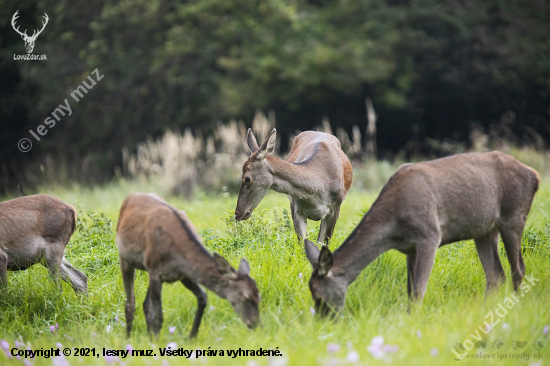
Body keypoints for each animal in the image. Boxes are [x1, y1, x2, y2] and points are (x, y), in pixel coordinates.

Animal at [116, 193, 260, 338]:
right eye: (246, 297)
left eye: (258, 296)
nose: (255, 324)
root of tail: (131, 196)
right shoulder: (156, 271)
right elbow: (158, 315)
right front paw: (156, 341)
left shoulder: (184, 274)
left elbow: (203, 297)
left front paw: (191, 337)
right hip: (126, 259)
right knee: (130, 303)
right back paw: (128, 338)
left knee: (145, 304)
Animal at [306, 153, 544, 316]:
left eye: (318, 294)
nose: (323, 321)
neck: (394, 227)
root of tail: (536, 176)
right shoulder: (410, 248)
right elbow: (410, 290)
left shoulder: (430, 235)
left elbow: (420, 289)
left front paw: (414, 319)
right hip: (485, 230)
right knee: (495, 275)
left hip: (514, 215)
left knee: (518, 269)